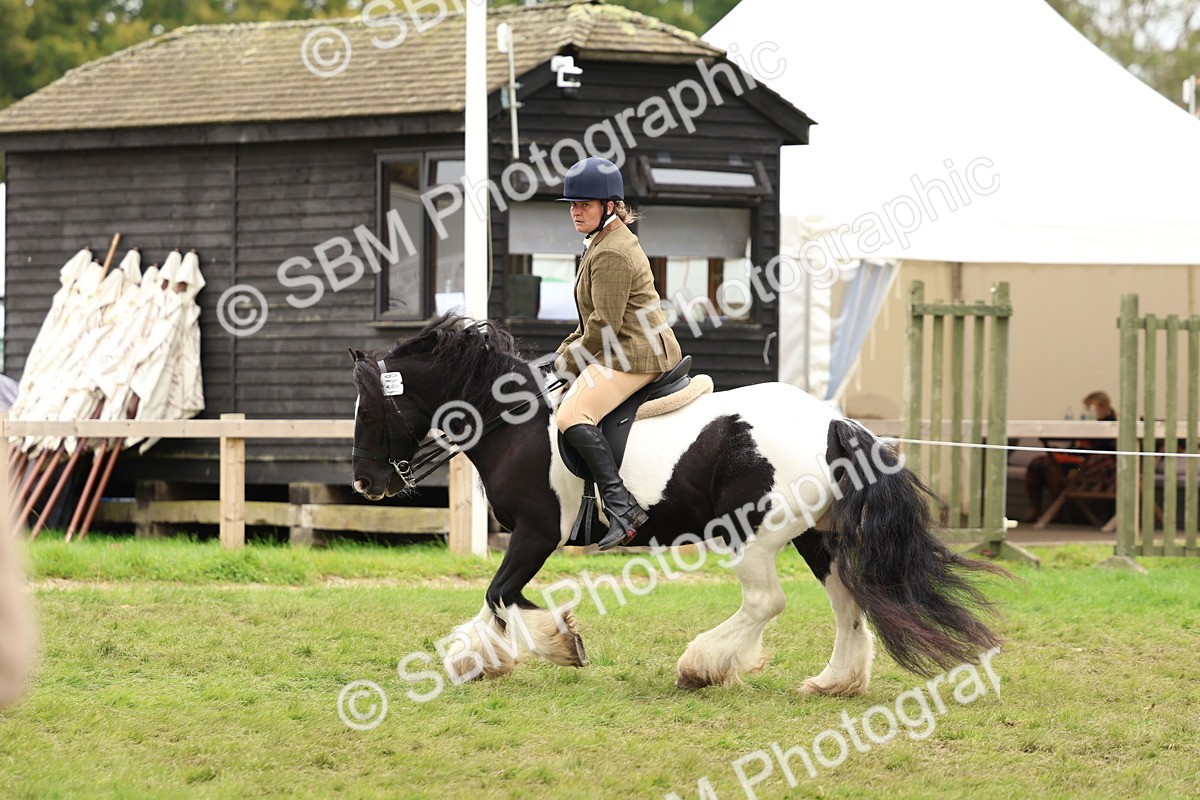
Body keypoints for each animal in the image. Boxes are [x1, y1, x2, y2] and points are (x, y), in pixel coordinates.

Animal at [349, 313, 1007, 694]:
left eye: (371, 410)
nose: (364, 484)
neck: (516, 424)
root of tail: (834, 423)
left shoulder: (536, 534)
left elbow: (500, 595)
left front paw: (553, 644)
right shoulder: (532, 540)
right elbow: (498, 599)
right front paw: (484, 658)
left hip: (754, 534)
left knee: (766, 601)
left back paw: (702, 665)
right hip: (813, 534)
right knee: (845, 599)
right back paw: (833, 681)